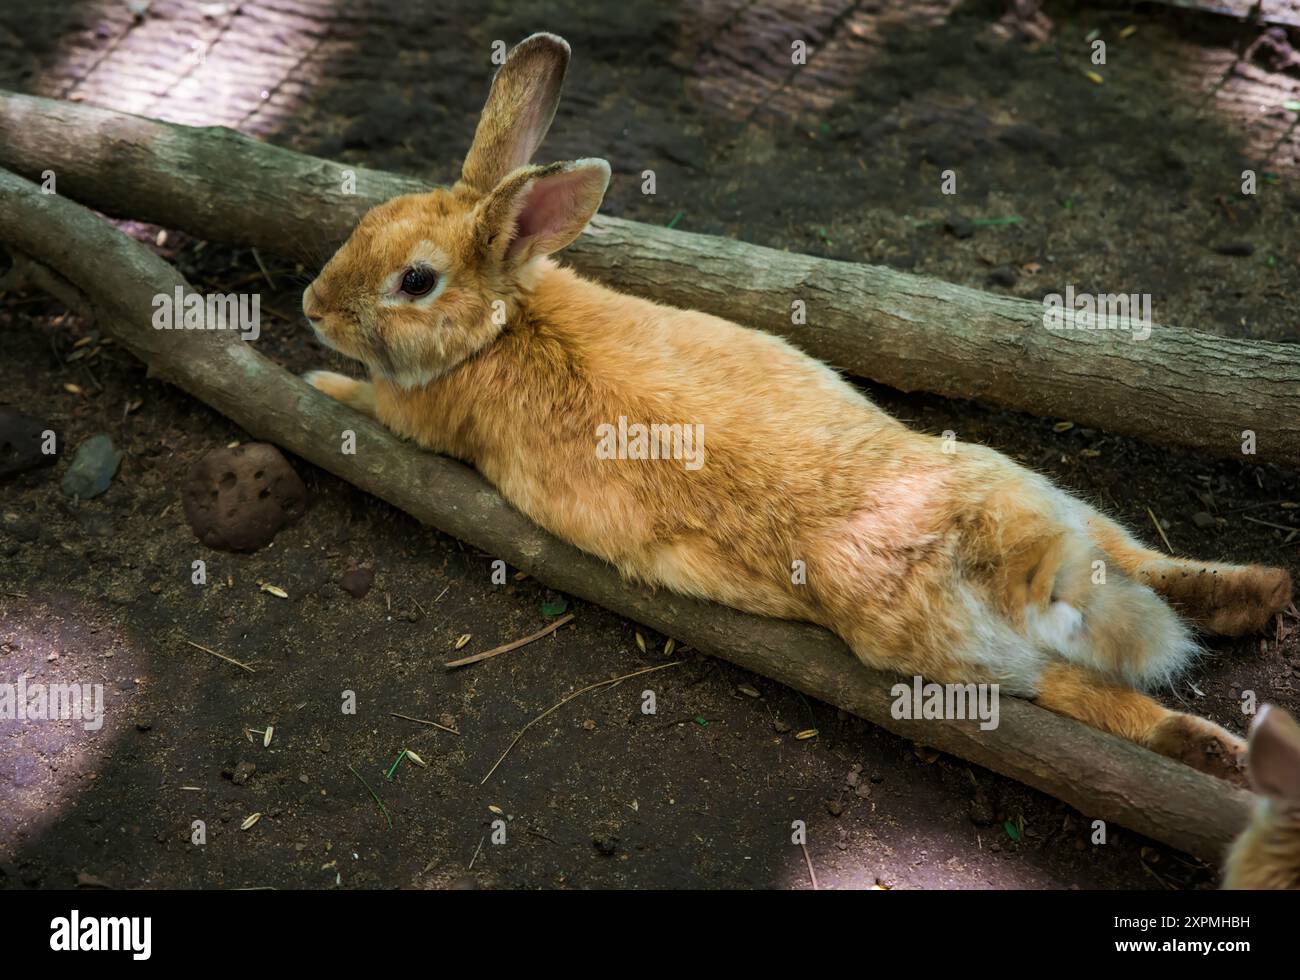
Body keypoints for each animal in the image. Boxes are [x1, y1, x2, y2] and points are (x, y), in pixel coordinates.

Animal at [304, 32, 1289, 785]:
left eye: (415, 281)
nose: (313, 307)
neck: (505, 322)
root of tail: (1008, 565)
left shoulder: (416, 419)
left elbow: (372, 402)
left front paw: (320, 385)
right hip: (1041, 511)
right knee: (1139, 581)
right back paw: (1252, 616)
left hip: (943, 653)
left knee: (1089, 693)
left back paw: (1214, 746)